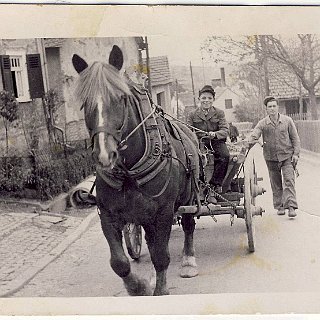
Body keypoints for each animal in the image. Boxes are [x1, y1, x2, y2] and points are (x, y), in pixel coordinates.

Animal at [73, 45, 200, 296]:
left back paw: (188, 261)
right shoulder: (108, 214)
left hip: (188, 198)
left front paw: (160, 289)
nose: (104, 155)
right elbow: (119, 262)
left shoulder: (163, 212)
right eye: (85, 103)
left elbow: (161, 256)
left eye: (120, 98)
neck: (129, 174)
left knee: (188, 225)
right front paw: (138, 286)